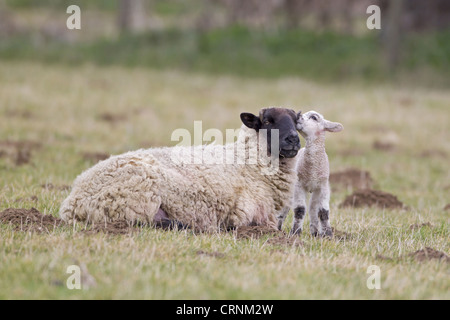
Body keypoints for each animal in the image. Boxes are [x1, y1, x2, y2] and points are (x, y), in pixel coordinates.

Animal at [58, 107, 300, 232]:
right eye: (267, 121)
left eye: (296, 122)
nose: (293, 139)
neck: (247, 162)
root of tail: (72, 202)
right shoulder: (248, 215)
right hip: (135, 201)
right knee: (143, 222)